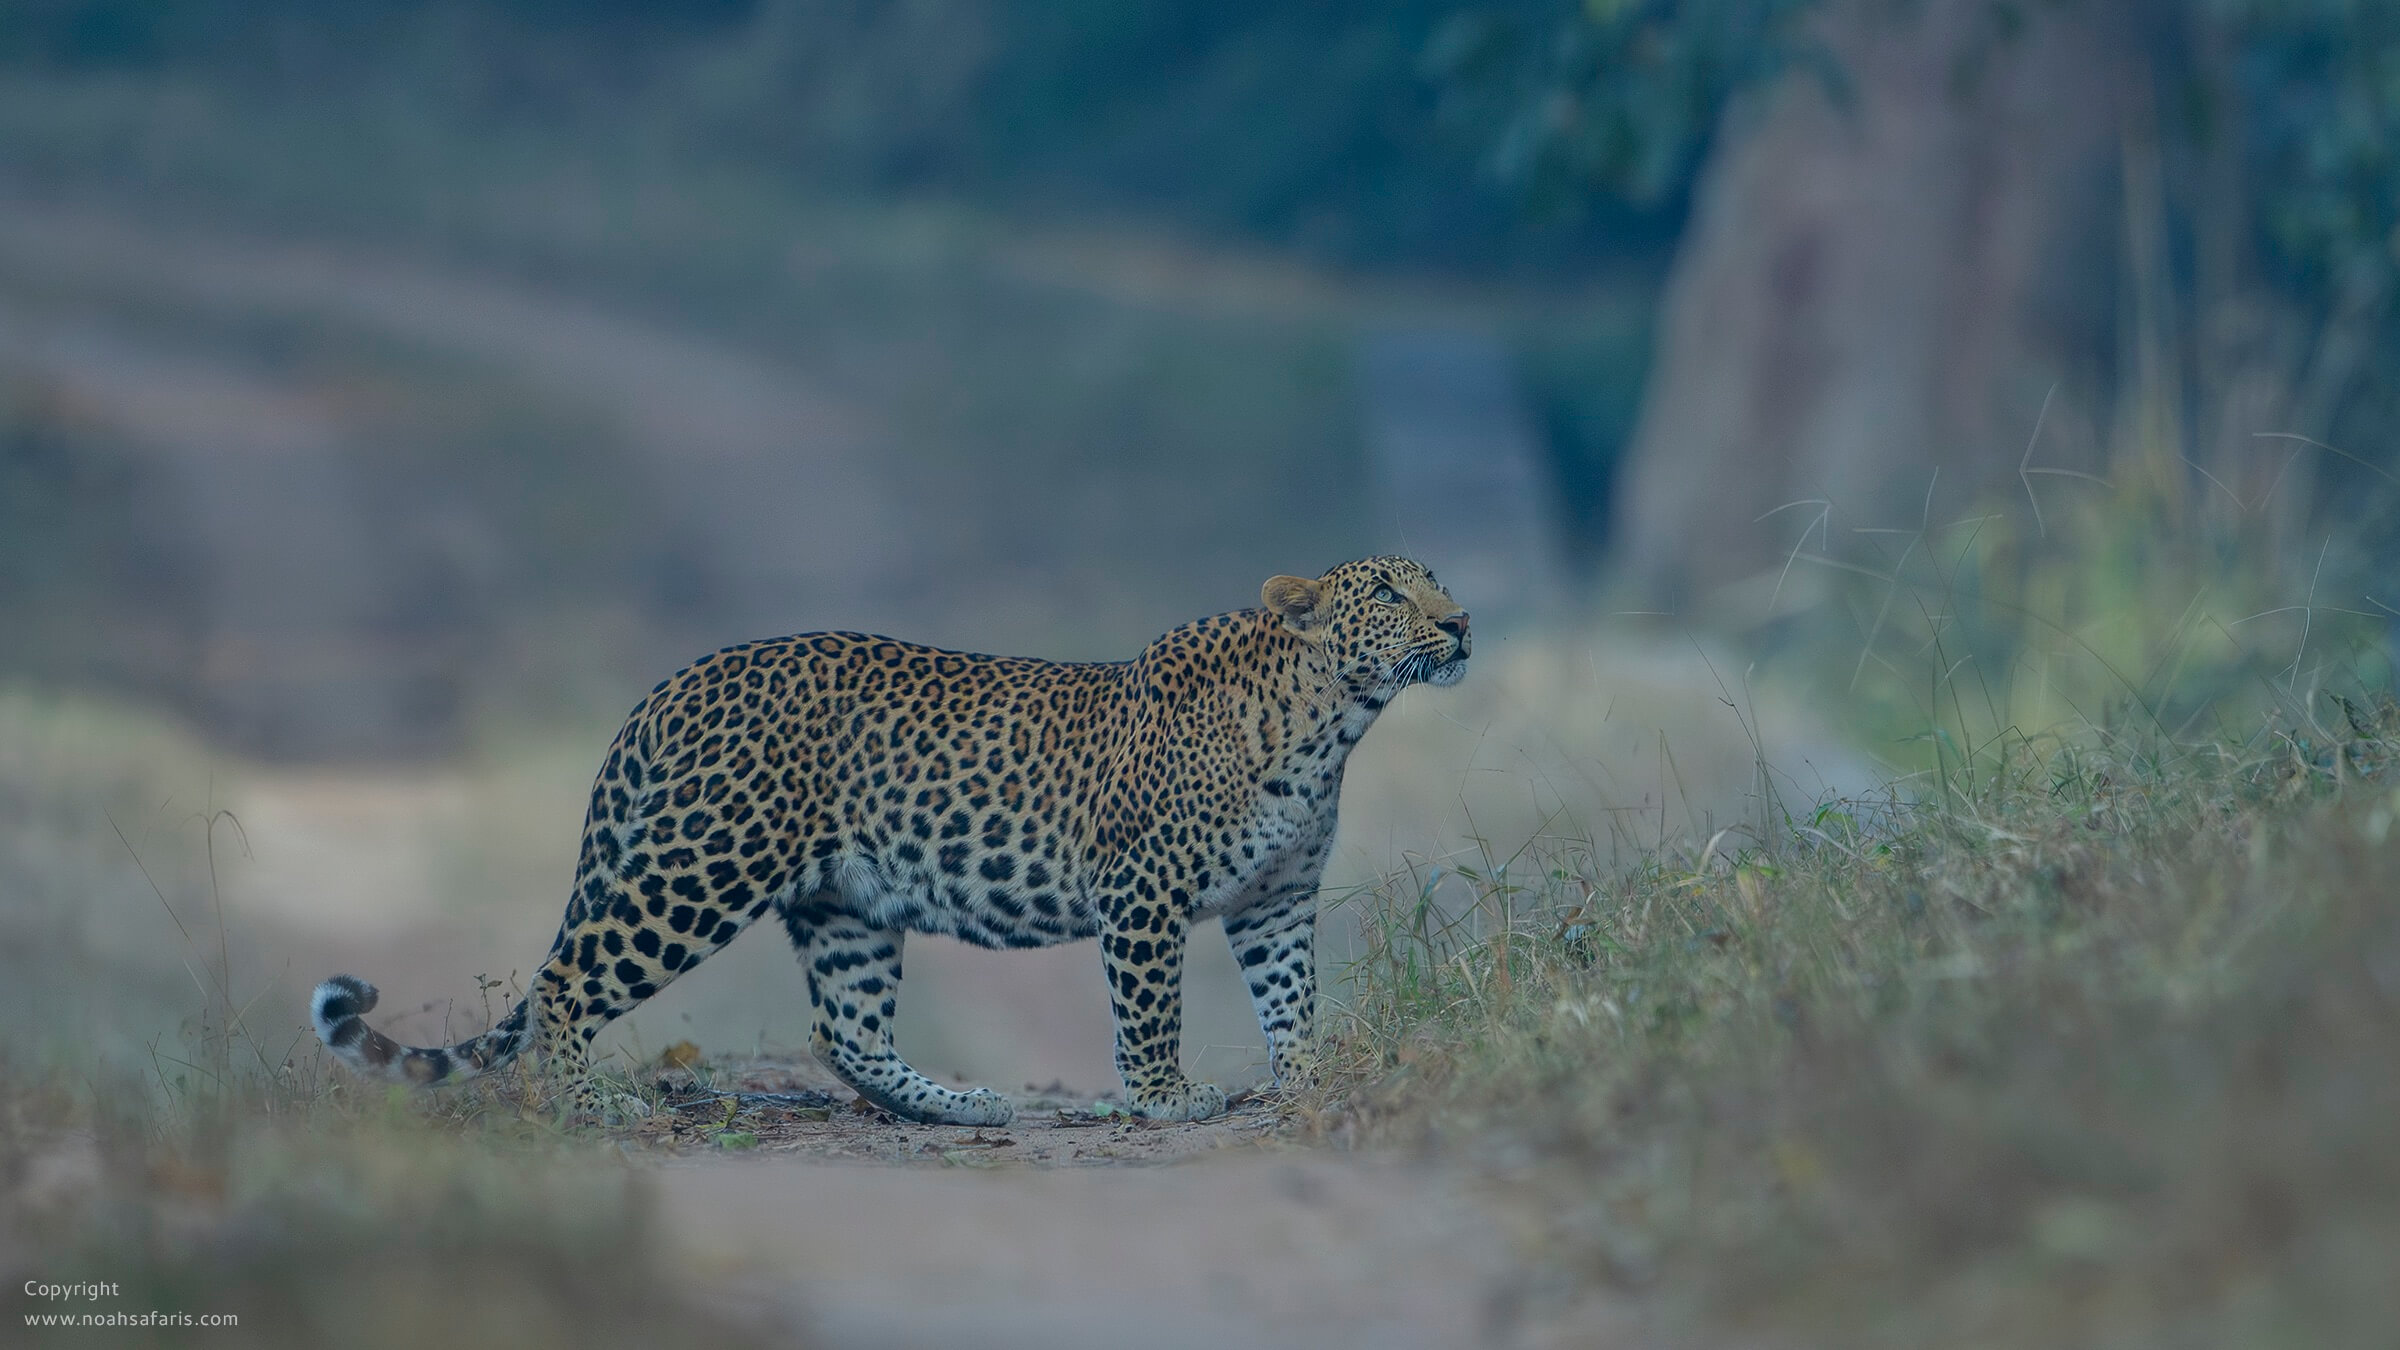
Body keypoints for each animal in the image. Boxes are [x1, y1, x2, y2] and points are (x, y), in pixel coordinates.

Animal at [312, 555, 1469, 1124]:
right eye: (1385, 590)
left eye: (1438, 583)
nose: (1461, 623)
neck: (1335, 719)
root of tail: (671, 687)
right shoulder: (1142, 892)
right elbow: (1150, 1007)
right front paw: (1164, 1101)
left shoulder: (1276, 900)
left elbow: (1290, 998)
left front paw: (1308, 1078)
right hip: (698, 867)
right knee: (564, 981)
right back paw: (585, 1102)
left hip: (844, 905)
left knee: (844, 1032)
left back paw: (958, 1107)